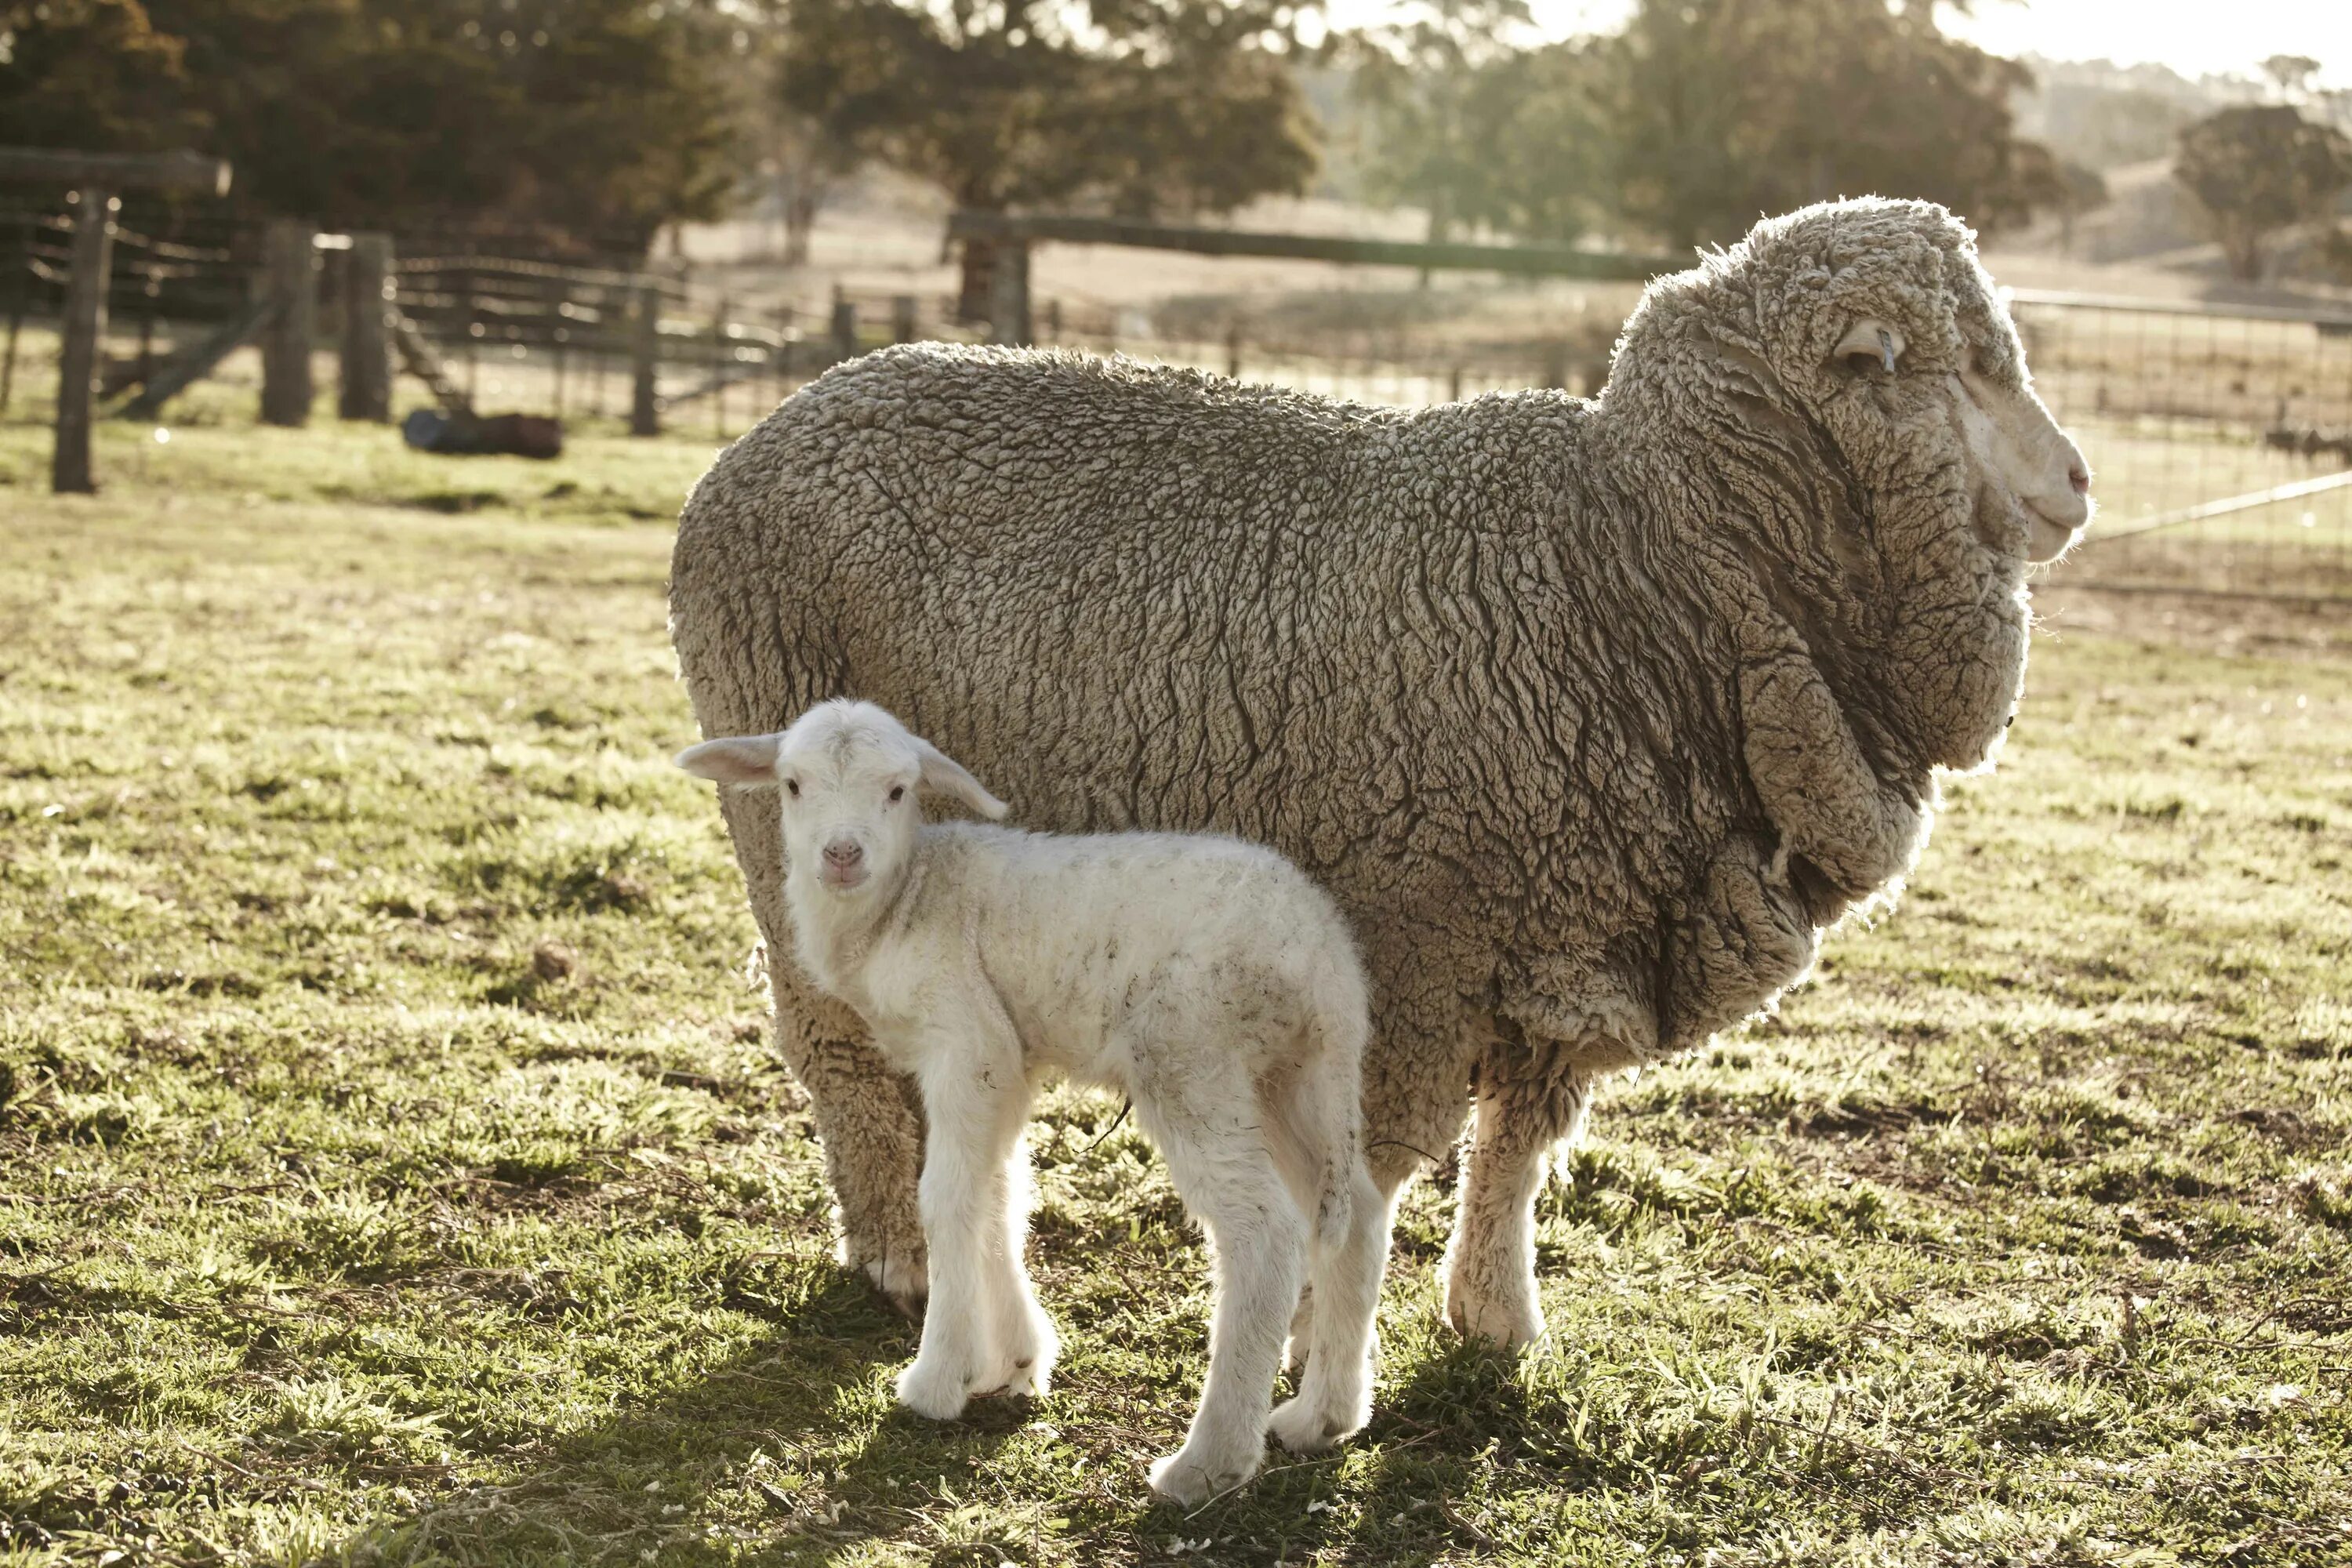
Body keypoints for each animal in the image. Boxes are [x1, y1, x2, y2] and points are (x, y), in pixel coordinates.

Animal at [673, 700, 1383, 1504]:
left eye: (898, 790)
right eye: (792, 785)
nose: (842, 854)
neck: (905, 898)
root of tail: (1322, 958)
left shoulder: (965, 1038)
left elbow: (946, 1197)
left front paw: (938, 1377)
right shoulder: (1008, 1062)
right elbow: (1000, 1196)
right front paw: (1013, 1359)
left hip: (1192, 1052)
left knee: (1264, 1233)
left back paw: (1207, 1462)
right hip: (1294, 1076)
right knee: (1358, 1208)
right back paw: (1325, 1415)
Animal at [677, 196, 2098, 1354]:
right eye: (1956, 369)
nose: (2081, 483)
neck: (1654, 556)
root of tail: (768, 431)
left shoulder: (1574, 934)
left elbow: (1518, 1149)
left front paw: (1496, 1320)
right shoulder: (1418, 935)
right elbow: (1381, 1168)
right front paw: (1321, 1339)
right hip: (792, 825)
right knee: (831, 1042)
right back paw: (900, 1257)